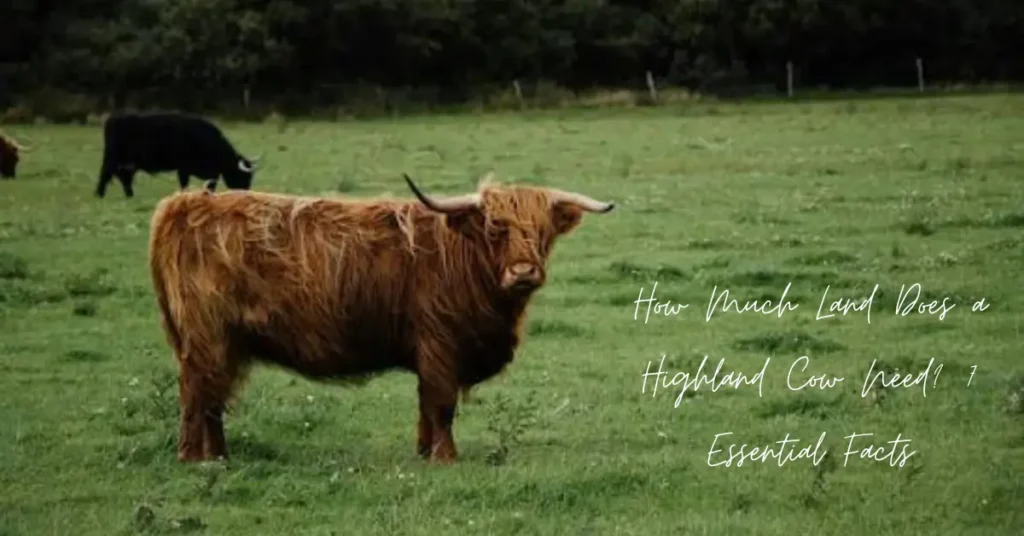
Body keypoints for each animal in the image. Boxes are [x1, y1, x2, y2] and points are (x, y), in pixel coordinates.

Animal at [96, 112, 262, 198]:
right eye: (243, 176)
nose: (246, 194)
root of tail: (114, 117)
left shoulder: (208, 172)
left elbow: (210, 184)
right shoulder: (184, 168)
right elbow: (185, 184)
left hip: (129, 162)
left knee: (124, 176)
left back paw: (130, 195)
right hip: (112, 157)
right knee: (106, 173)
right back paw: (99, 194)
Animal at [148, 172, 615, 464]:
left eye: (542, 232)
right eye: (495, 229)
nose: (523, 272)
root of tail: (185, 203)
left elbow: (426, 406)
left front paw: (424, 453)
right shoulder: (440, 345)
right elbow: (441, 405)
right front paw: (446, 458)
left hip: (225, 344)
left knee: (214, 399)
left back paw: (220, 457)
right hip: (207, 338)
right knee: (197, 395)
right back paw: (193, 458)